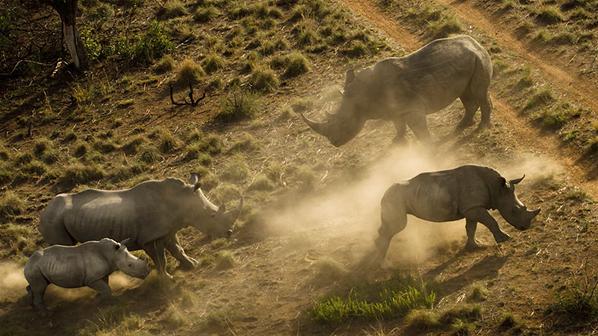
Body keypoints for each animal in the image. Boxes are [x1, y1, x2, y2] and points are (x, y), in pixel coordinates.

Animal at [39, 175, 244, 276]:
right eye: (212, 215)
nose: (229, 232)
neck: (181, 201)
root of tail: (43, 212)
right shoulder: (149, 237)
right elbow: (160, 258)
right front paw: (167, 279)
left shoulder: (167, 230)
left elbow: (176, 248)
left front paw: (192, 265)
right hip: (52, 220)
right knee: (64, 246)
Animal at [302, 34, 494, 146]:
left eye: (343, 123)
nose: (334, 143)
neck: (362, 97)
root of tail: (477, 43)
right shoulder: (394, 110)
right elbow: (398, 126)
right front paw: (397, 141)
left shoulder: (412, 108)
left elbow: (419, 130)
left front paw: (428, 147)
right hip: (469, 62)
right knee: (467, 94)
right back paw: (461, 127)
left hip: (479, 59)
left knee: (478, 93)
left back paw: (482, 128)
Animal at [376, 165, 540, 262]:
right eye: (514, 211)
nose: (525, 227)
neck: (496, 189)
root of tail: (383, 194)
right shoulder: (474, 207)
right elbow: (492, 221)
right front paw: (505, 239)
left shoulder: (471, 208)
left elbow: (471, 228)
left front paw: (475, 246)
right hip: (394, 198)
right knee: (397, 227)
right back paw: (380, 261)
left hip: (397, 197)